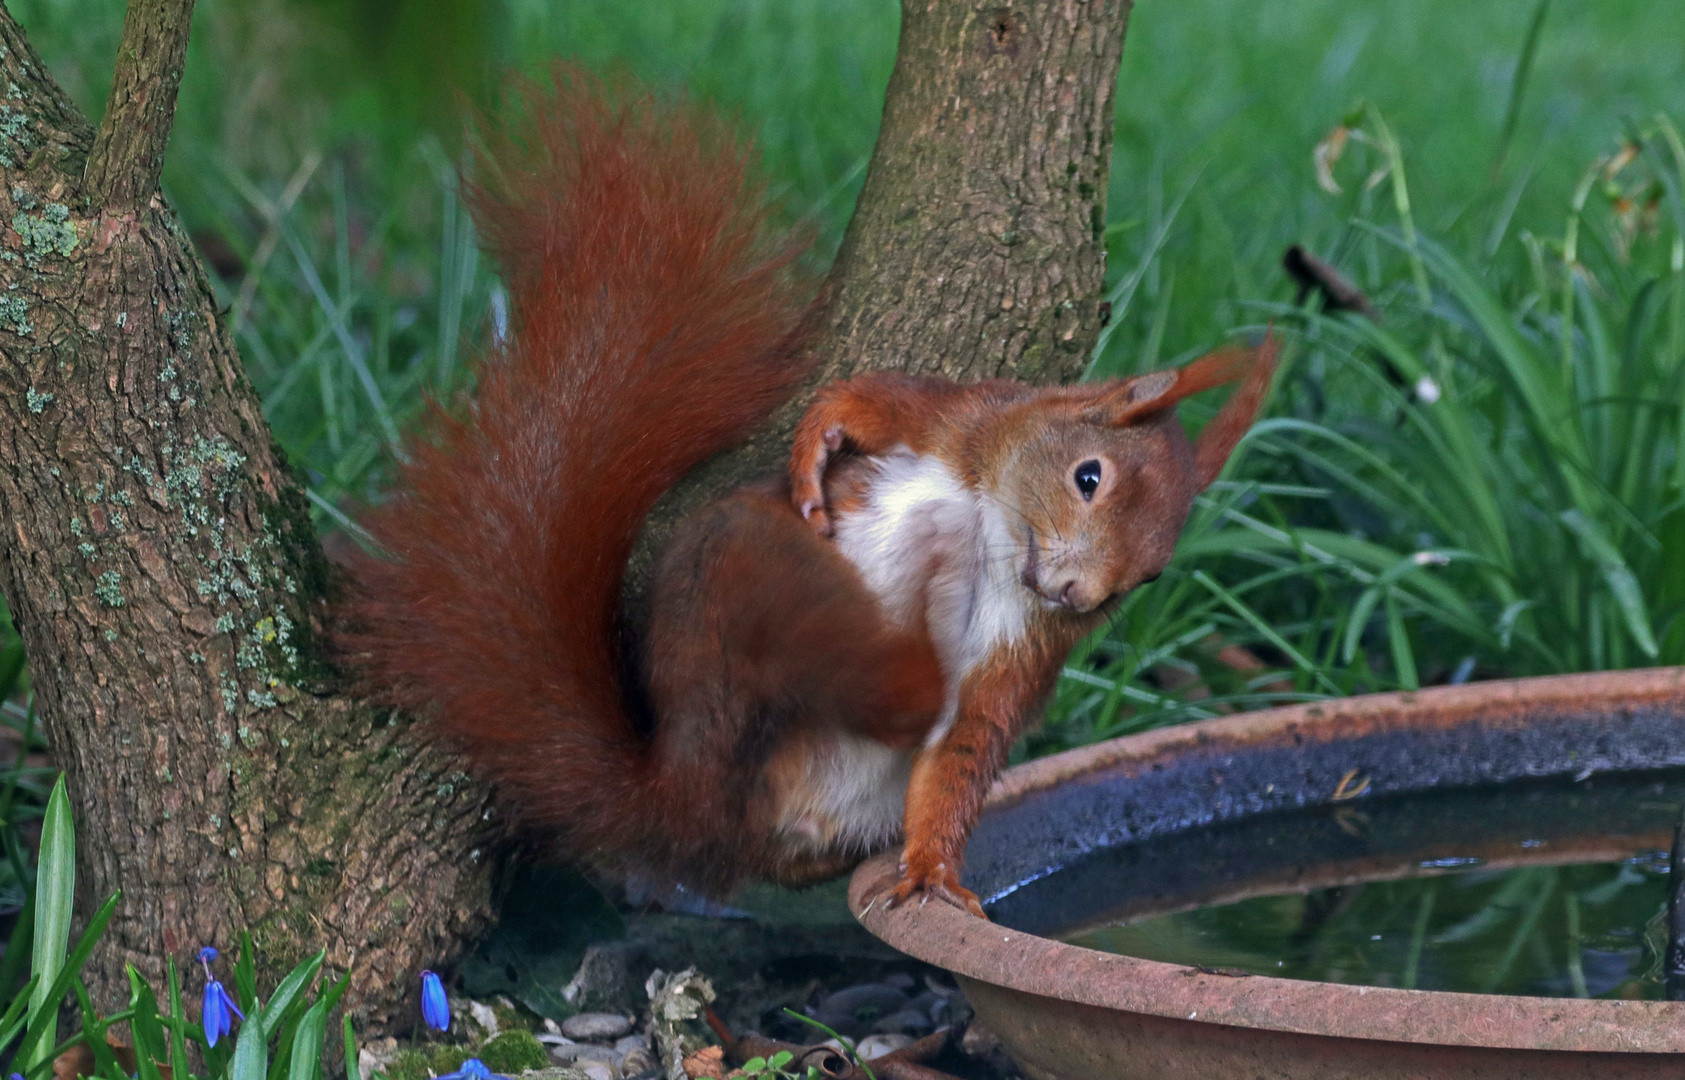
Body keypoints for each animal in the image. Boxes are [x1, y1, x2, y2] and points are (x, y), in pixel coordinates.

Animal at [342, 71, 1267, 916]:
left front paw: (932, 871)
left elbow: (965, 748)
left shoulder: (1020, 651)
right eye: (1088, 477)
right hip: (741, 584)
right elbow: (878, 399)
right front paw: (816, 440)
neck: (993, 532)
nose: (1076, 593)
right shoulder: (960, 420)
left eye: (1148, 576)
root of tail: (686, 810)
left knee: (893, 701)